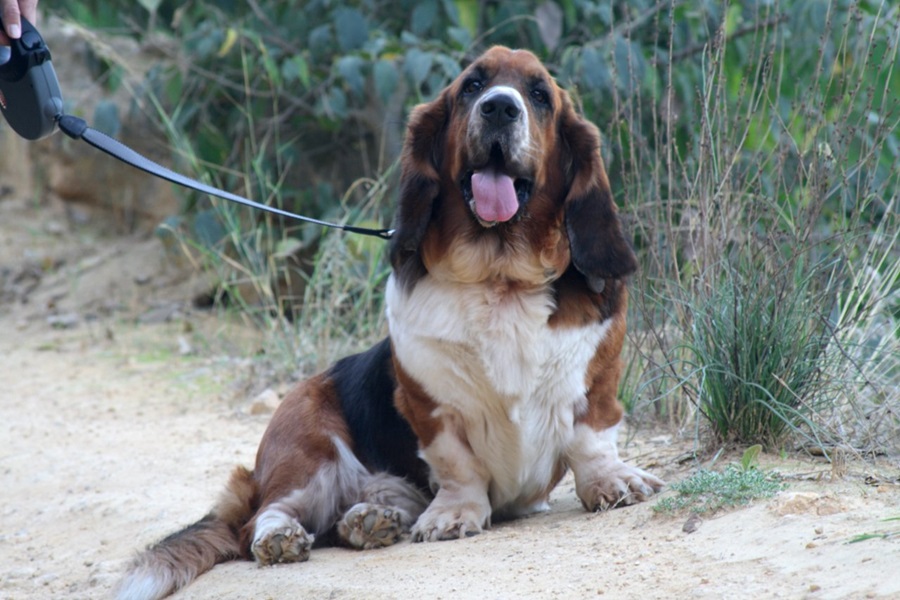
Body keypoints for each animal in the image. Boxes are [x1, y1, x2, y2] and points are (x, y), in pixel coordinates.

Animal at [116, 44, 664, 596]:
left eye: (539, 95)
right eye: (472, 86)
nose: (499, 108)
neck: (500, 278)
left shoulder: (597, 382)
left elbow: (592, 438)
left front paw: (612, 482)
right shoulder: (431, 407)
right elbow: (458, 464)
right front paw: (454, 515)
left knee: (348, 517)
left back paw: (370, 520)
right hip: (307, 448)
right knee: (265, 516)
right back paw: (284, 537)